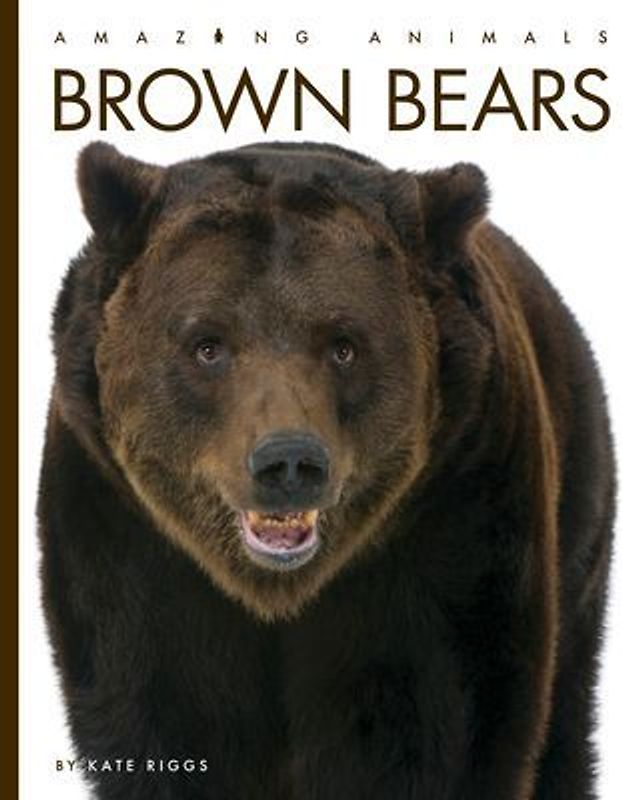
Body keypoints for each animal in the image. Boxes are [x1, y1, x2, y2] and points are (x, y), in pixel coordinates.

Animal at [39, 140, 615, 800]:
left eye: (344, 344)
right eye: (207, 344)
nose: (288, 461)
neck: (277, 593)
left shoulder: (453, 525)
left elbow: (443, 723)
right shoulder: (130, 544)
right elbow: (165, 717)